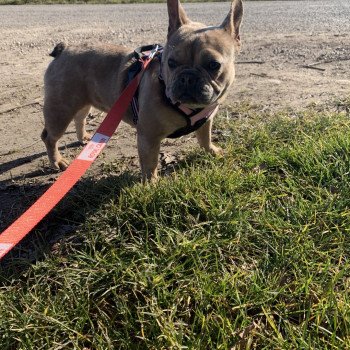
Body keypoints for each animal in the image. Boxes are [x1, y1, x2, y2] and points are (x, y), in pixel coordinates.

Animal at [41, 0, 243, 180]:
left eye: (213, 65)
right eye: (171, 63)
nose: (187, 77)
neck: (189, 107)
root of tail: (64, 50)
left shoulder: (206, 122)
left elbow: (205, 138)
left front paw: (212, 151)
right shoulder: (148, 137)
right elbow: (150, 163)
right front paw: (152, 184)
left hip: (82, 101)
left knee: (80, 118)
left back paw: (83, 137)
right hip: (60, 110)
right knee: (49, 137)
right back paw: (57, 161)